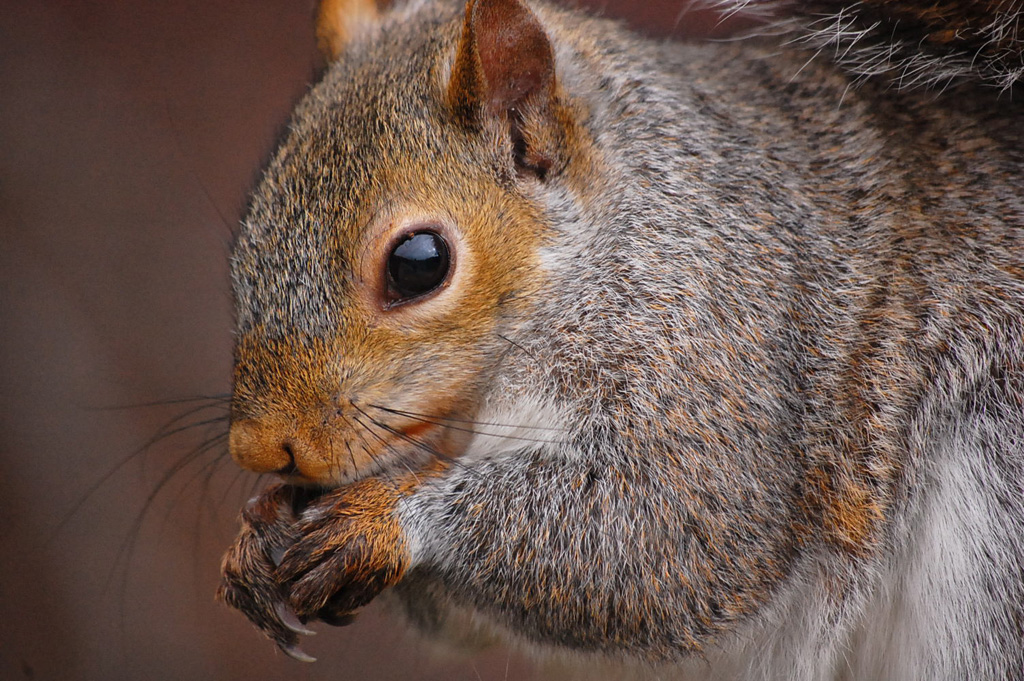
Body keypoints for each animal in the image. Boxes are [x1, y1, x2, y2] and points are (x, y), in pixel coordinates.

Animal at [211, 0, 1019, 675]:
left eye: (419, 264)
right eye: (249, 236)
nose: (262, 447)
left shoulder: (717, 341)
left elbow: (662, 530)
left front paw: (379, 519)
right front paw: (261, 532)